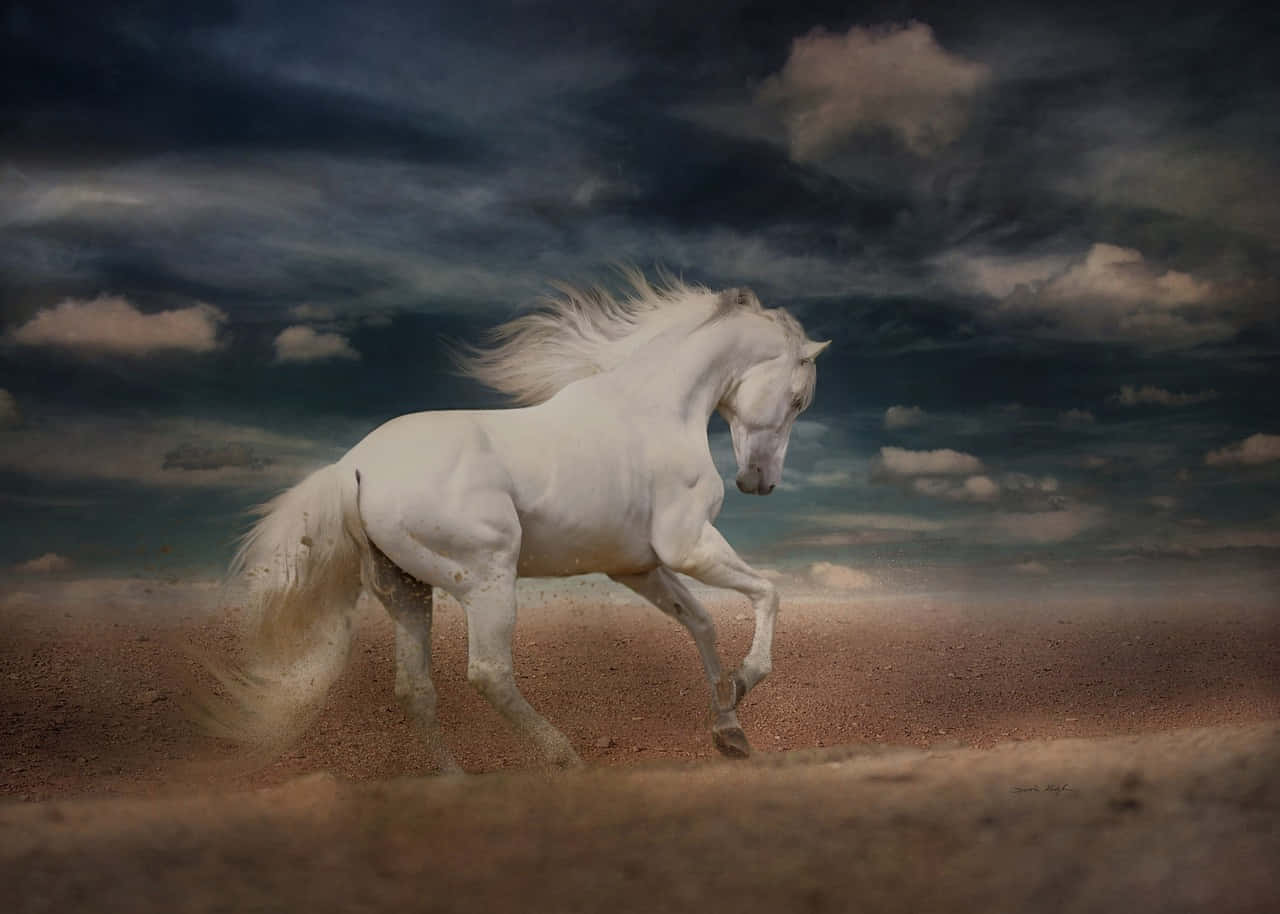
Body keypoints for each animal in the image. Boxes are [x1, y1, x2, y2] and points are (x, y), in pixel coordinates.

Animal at [193, 272, 829, 771]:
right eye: (799, 400)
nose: (759, 482)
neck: (655, 409)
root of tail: (353, 467)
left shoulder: (638, 567)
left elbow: (701, 622)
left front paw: (729, 729)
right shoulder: (688, 546)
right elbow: (768, 594)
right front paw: (744, 683)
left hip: (407, 591)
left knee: (415, 689)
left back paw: (456, 783)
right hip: (487, 578)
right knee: (490, 673)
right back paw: (565, 759)